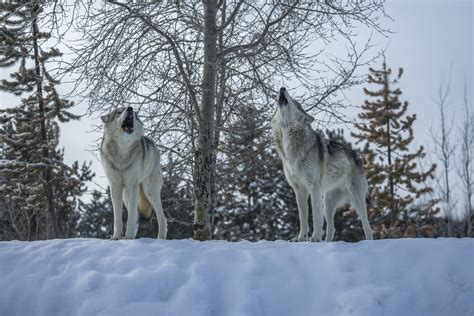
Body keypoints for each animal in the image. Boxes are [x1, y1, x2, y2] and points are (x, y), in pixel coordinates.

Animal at [100, 107, 167, 239]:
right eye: (118, 112)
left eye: (135, 115)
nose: (130, 108)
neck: (122, 151)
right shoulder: (115, 186)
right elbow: (118, 217)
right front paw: (116, 237)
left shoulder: (132, 185)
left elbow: (130, 217)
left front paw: (129, 237)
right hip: (127, 194)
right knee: (136, 216)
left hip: (150, 191)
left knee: (162, 218)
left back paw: (160, 238)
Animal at [272, 87, 372, 241]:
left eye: (296, 102)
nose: (282, 88)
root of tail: (356, 156)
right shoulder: (299, 190)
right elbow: (303, 218)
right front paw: (301, 239)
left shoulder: (314, 188)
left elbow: (315, 218)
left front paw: (314, 238)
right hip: (328, 203)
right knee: (332, 228)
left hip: (356, 200)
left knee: (367, 226)